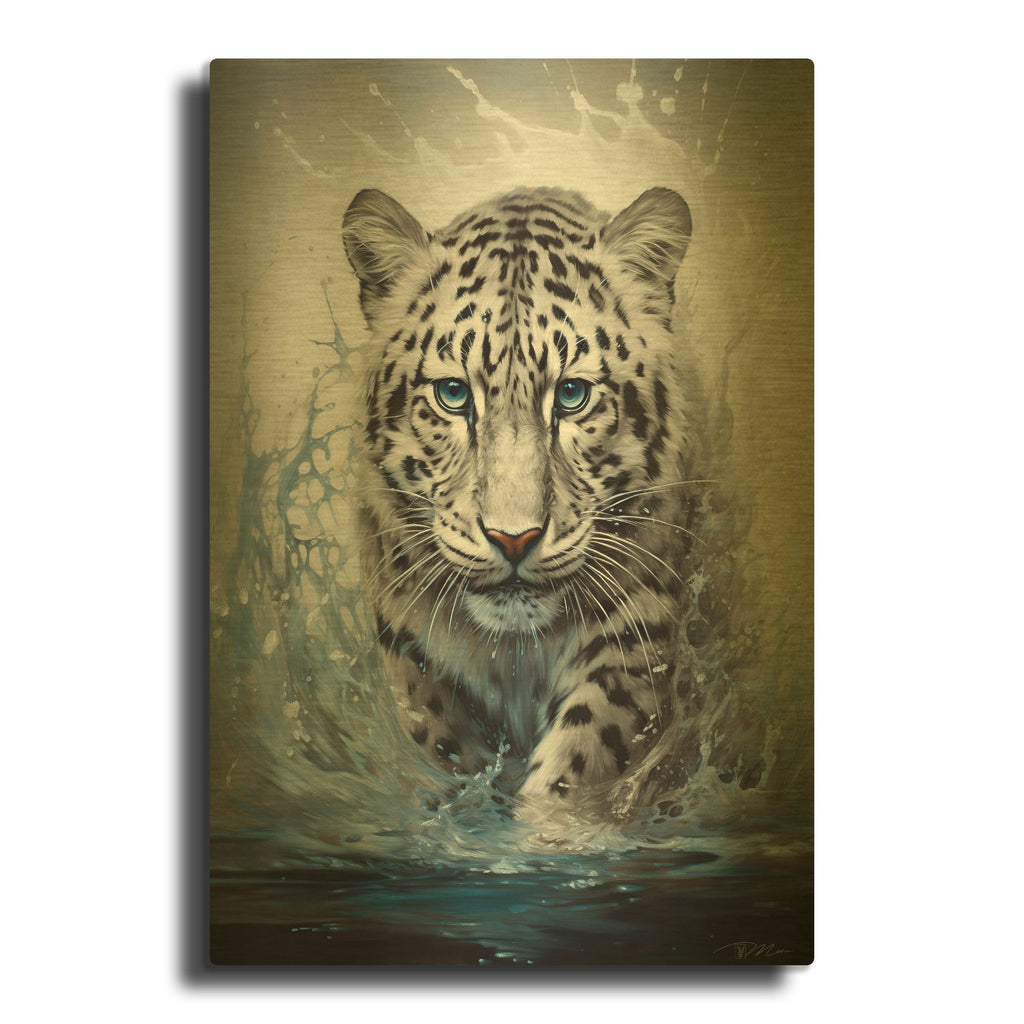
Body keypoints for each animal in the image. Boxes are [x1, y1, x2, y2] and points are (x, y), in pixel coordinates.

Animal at [342, 185, 703, 810]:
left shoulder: (639, 622)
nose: (514, 540)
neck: (514, 656)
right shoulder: (408, 643)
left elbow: (585, 751)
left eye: (573, 394)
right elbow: (439, 744)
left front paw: (550, 821)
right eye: (454, 394)